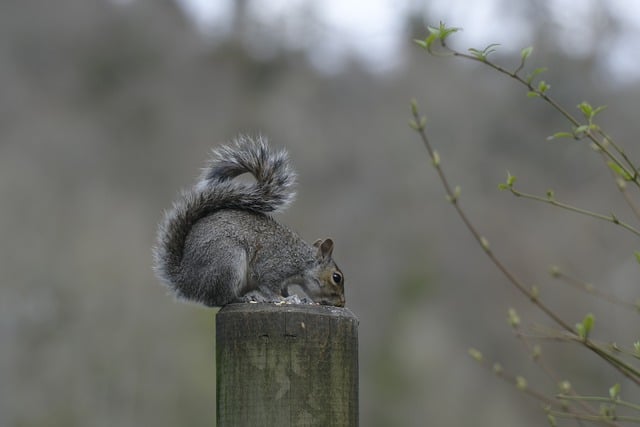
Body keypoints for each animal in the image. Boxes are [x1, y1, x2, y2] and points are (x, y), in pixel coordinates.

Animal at [152, 136, 344, 308]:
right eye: (336, 277)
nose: (342, 303)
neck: (303, 260)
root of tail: (187, 281)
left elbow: (283, 290)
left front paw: (297, 298)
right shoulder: (275, 266)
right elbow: (268, 286)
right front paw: (284, 299)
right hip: (228, 261)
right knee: (219, 299)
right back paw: (243, 298)